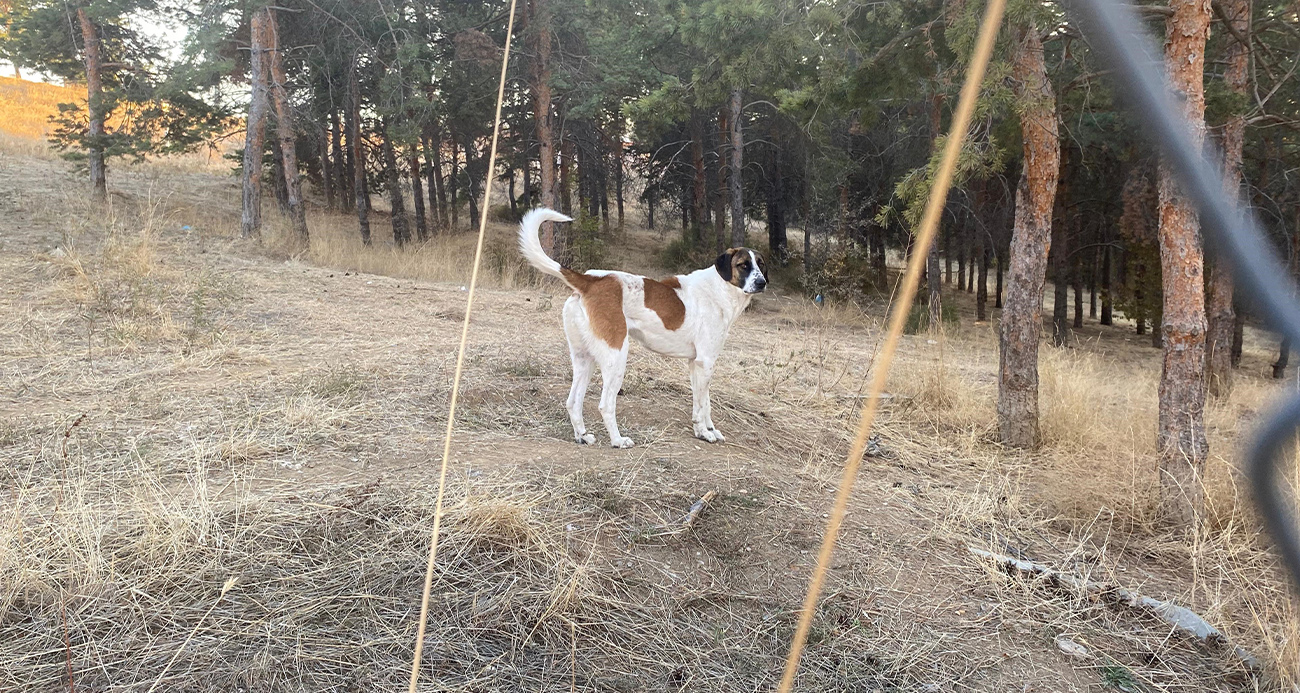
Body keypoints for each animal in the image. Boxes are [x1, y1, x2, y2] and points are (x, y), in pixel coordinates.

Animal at [514, 206, 759, 447]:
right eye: (743, 265)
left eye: (761, 265)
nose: (762, 282)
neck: (720, 289)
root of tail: (591, 281)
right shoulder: (705, 362)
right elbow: (700, 407)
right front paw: (703, 433)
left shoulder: (697, 365)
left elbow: (705, 403)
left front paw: (711, 429)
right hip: (616, 357)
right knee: (606, 404)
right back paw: (617, 440)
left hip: (584, 358)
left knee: (573, 402)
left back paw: (582, 436)